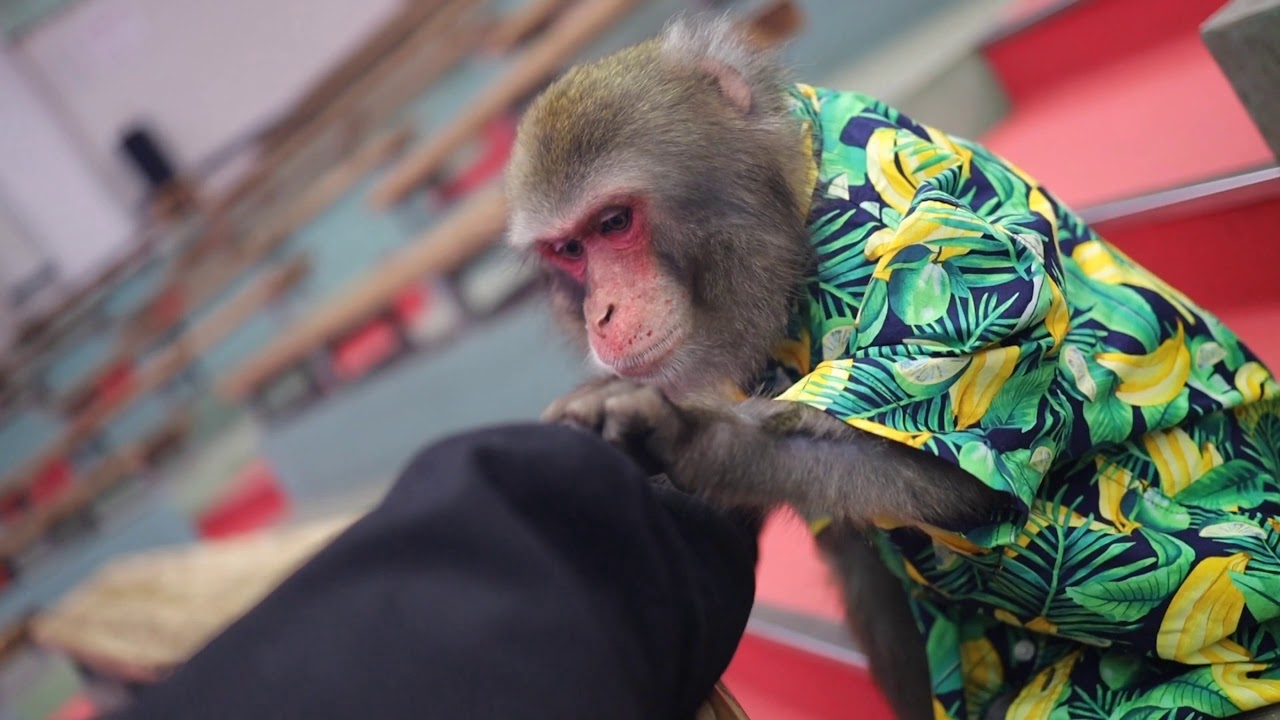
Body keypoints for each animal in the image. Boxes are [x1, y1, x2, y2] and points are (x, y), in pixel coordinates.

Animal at [505, 14, 1280, 720]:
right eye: (568, 250)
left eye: (614, 223)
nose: (601, 315)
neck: (797, 210)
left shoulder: (951, 244)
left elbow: (939, 475)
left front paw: (686, 434)